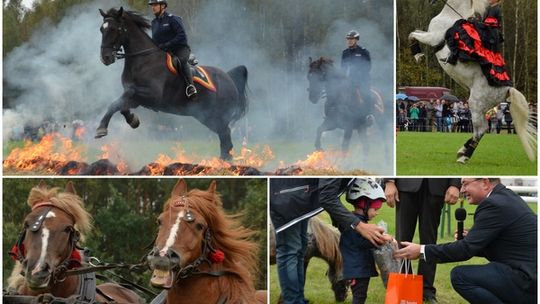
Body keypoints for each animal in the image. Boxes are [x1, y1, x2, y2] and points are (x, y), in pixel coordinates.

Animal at [97, 7, 249, 160]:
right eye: (101, 29)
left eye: (114, 29)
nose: (105, 58)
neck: (144, 60)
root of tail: (229, 78)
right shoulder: (138, 100)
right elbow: (120, 105)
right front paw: (133, 120)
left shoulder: (151, 96)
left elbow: (122, 99)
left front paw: (101, 129)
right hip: (207, 117)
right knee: (225, 139)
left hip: (219, 117)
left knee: (226, 138)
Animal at [410, 0, 536, 164]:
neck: (449, 15)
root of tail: (507, 90)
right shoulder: (428, 34)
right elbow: (414, 31)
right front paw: (417, 54)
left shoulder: (432, 37)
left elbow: (413, 34)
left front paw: (418, 55)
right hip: (481, 109)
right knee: (482, 130)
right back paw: (463, 152)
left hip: (475, 104)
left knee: (481, 130)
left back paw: (463, 156)